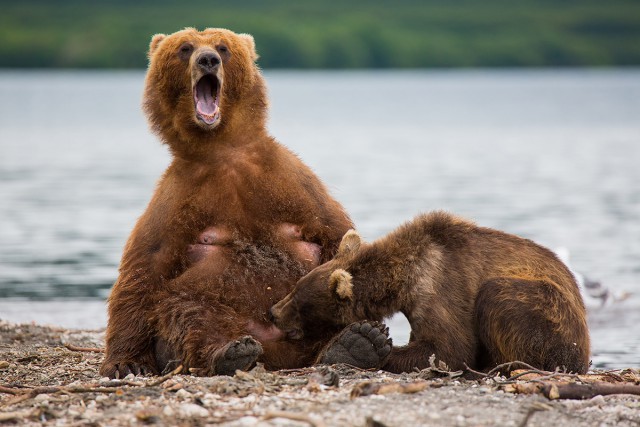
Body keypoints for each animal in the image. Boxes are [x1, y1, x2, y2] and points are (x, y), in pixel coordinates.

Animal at [99, 27, 356, 378]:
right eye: (185, 48)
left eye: (223, 47)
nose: (207, 59)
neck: (221, 148)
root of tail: (280, 357)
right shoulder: (176, 198)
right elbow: (143, 268)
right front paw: (125, 362)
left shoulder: (293, 182)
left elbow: (335, 233)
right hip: (215, 304)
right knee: (187, 310)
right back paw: (232, 351)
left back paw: (355, 342)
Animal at [270, 213, 592, 374]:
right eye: (295, 288)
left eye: (299, 301)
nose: (273, 312)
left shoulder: (442, 284)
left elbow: (448, 348)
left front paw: (365, 347)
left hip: (549, 314)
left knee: (499, 298)